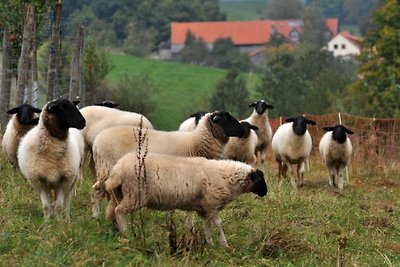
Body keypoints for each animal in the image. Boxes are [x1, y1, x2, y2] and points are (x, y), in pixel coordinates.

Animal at [91, 110, 247, 218]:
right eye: (226, 119)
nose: (243, 130)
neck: (197, 142)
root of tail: (97, 141)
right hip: (107, 168)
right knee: (96, 190)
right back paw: (96, 215)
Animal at [104, 153, 268, 249]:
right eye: (260, 179)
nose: (266, 192)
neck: (226, 176)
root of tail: (118, 169)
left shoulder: (203, 208)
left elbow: (206, 226)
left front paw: (210, 243)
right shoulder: (212, 205)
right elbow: (218, 224)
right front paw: (224, 244)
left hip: (119, 195)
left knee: (112, 211)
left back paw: (115, 230)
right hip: (135, 195)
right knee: (119, 212)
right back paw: (125, 233)